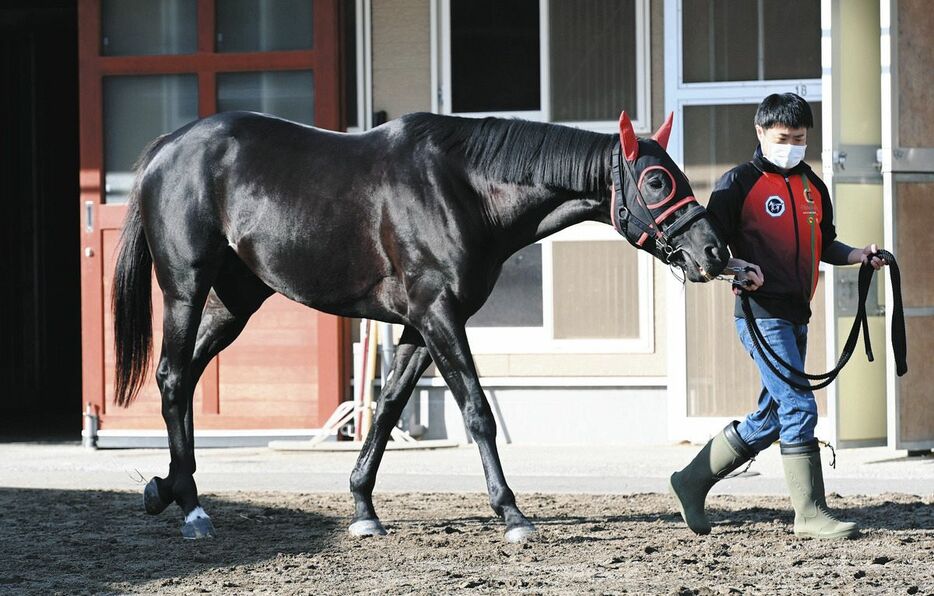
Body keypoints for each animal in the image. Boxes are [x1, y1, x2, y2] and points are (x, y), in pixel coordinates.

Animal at [111, 107, 732, 540]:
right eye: (656, 181)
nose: (714, 251)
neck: (461, 189)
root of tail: (167, 148)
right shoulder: (440, 315)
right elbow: (476, 410)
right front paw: (511, 512)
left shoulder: (416, 325)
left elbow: (387, 408)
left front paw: (363, 508)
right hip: (186, 291)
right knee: (172, 377)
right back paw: (191, 507)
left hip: (233, 304)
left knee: (184, 379)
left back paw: (167, 488)